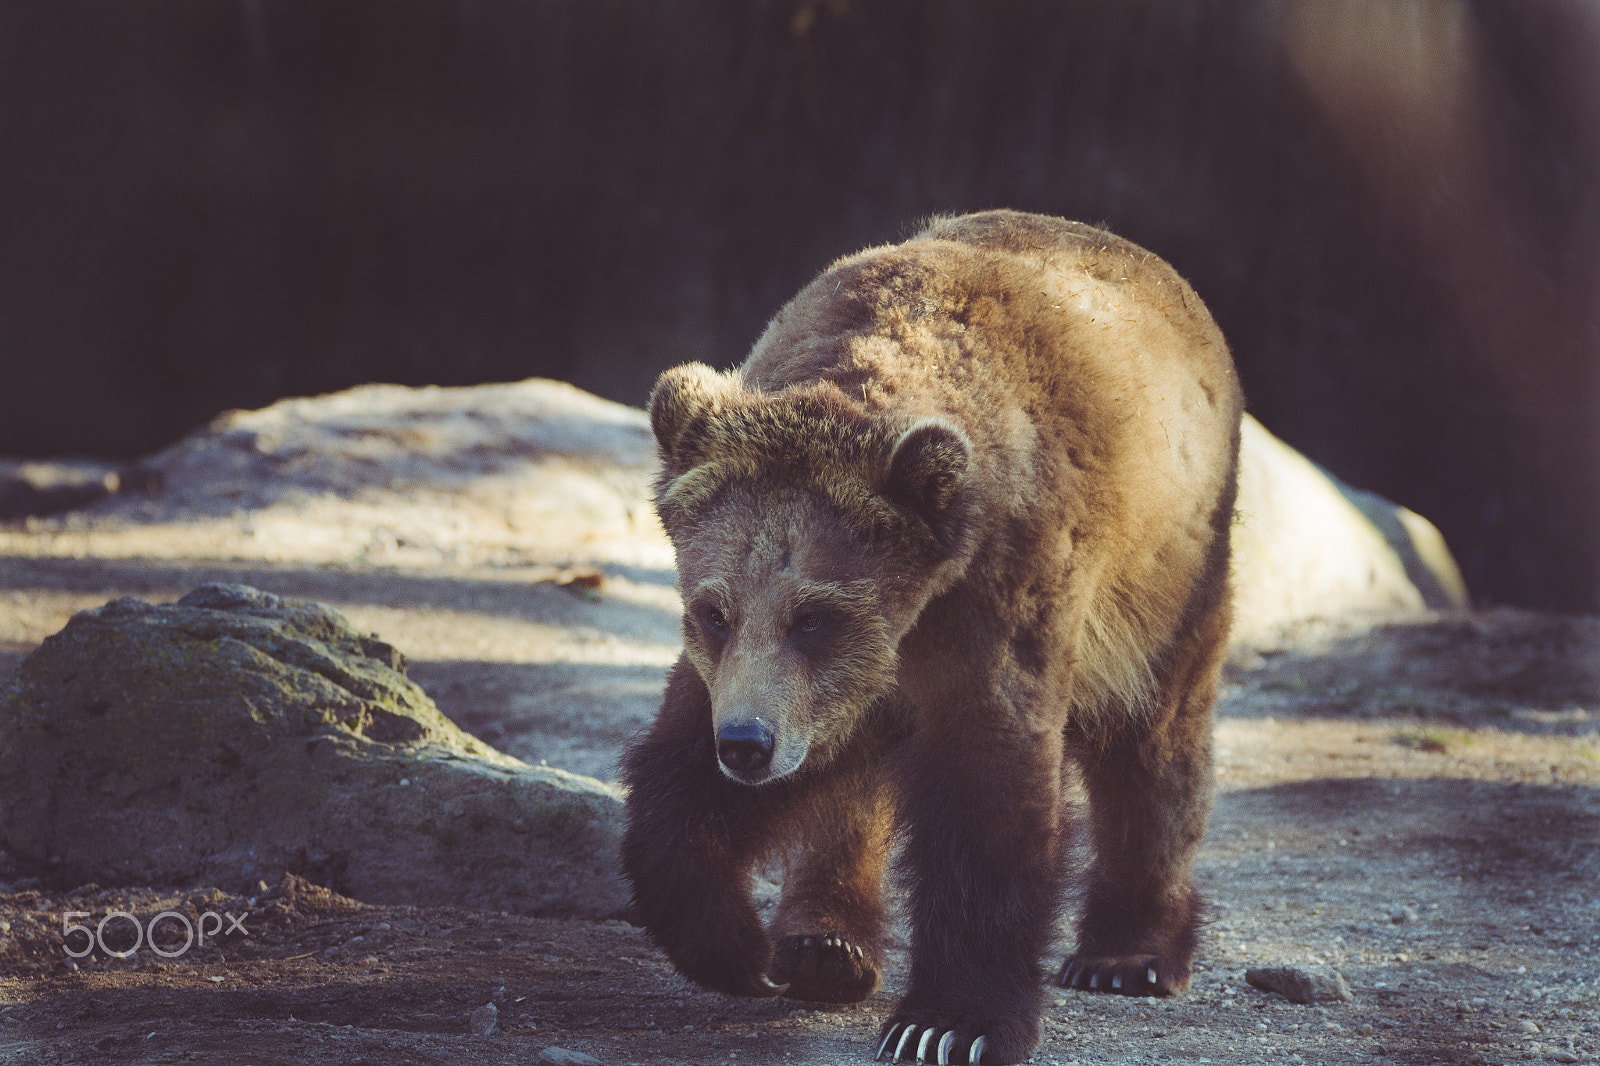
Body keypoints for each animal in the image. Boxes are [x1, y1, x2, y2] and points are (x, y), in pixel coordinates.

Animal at [620, 210, 1243, 1065]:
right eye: (712, 612)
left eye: (815, 617)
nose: (747, 746)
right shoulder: (761, 676)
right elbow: (682, 773)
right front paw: (738, 948)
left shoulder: (997, 594)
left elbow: (988, 785)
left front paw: (949, 1022)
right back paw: (823, 946)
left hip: (1169, 568)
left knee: (1155, 739)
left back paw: (1129, 952)